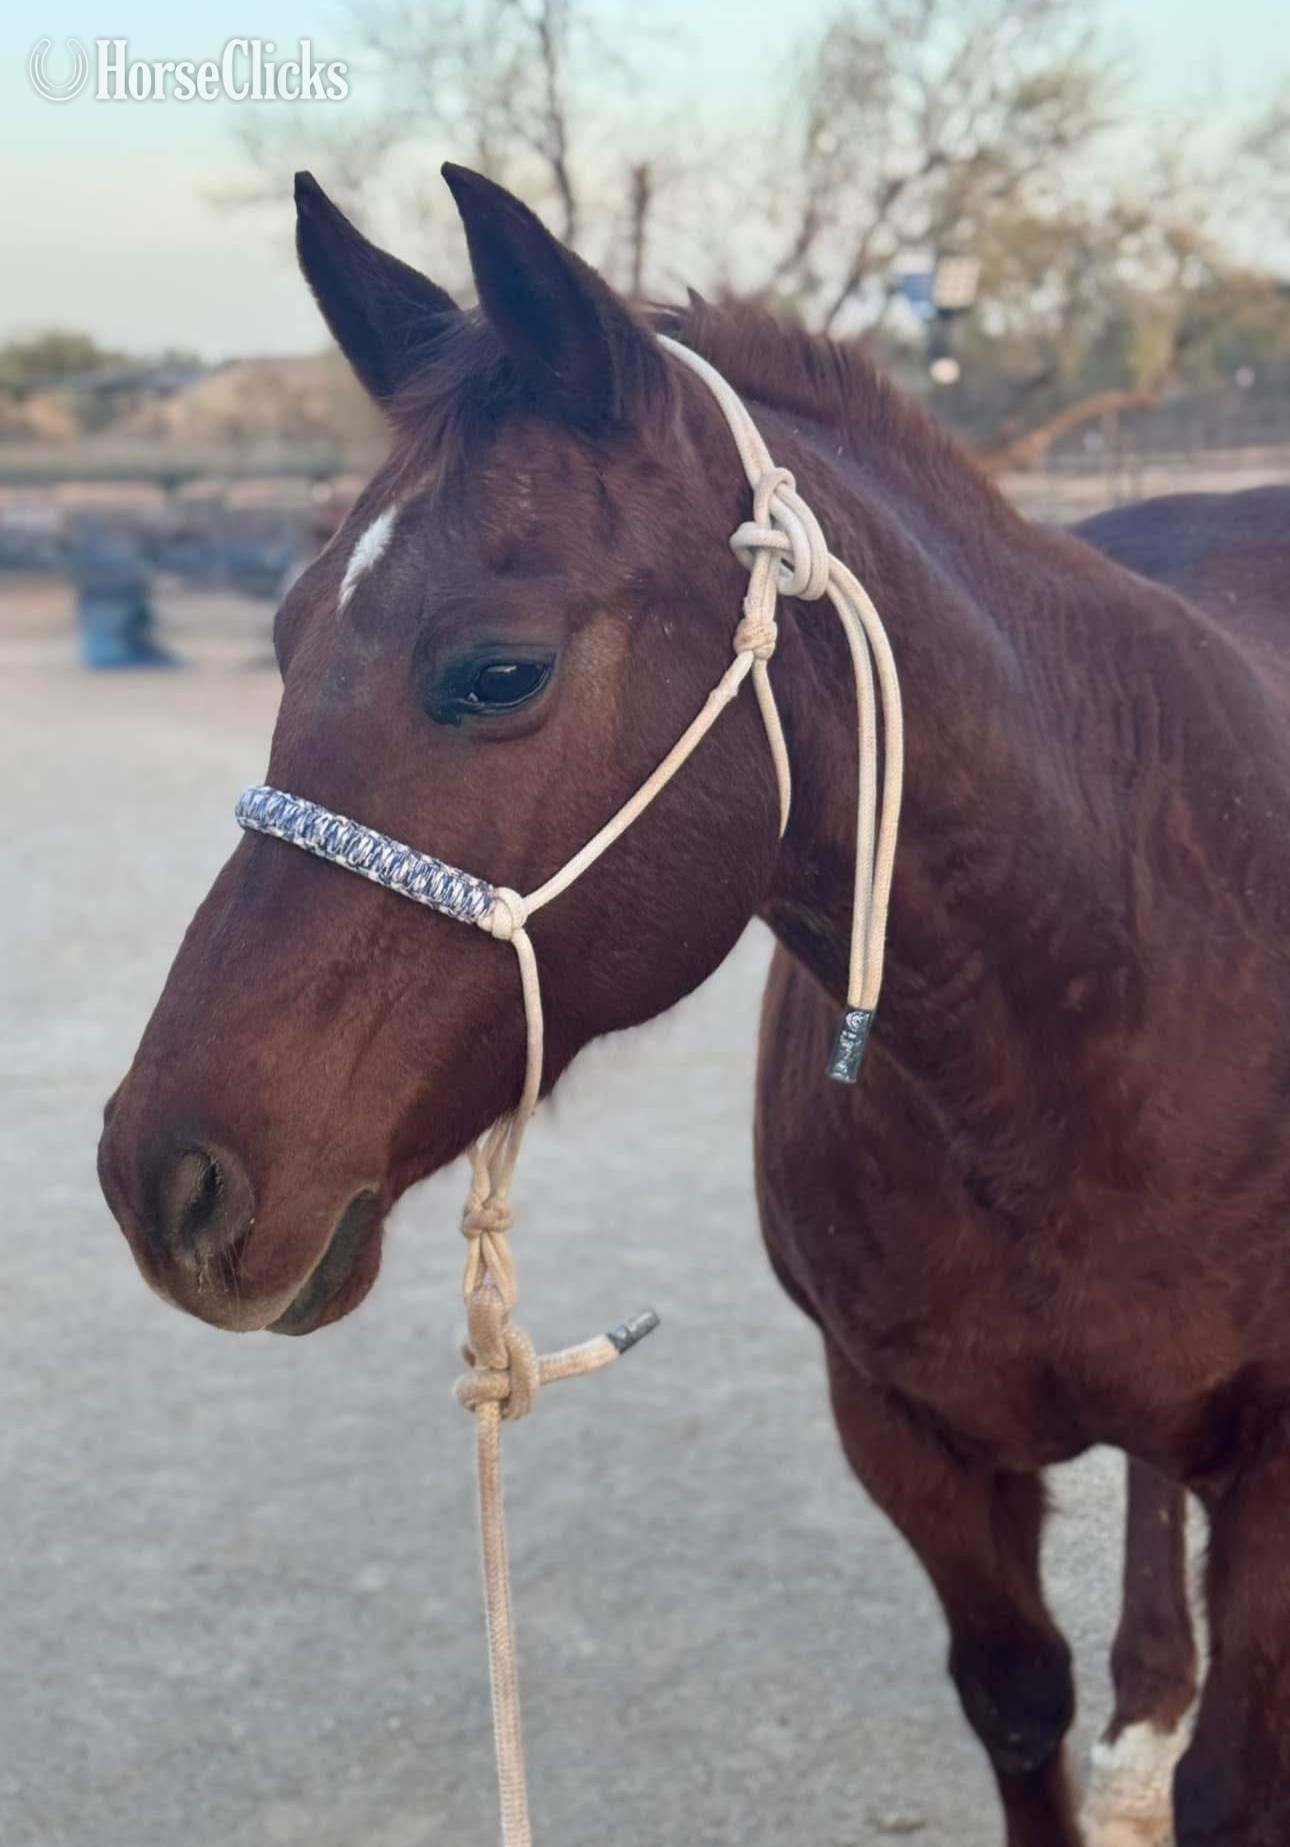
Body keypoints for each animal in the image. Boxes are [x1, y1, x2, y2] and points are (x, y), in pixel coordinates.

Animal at [97, 165, 1290, 1847]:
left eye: (497, 672)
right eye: (281, 631)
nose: (167, 1175)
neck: (1104, 999)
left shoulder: (1275, 1465)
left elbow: (1239, 1779)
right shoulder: (904, 1436)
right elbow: (1017, 1706)